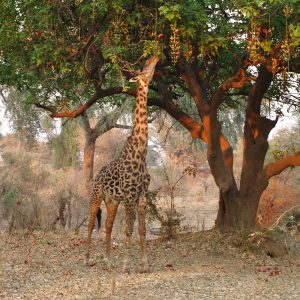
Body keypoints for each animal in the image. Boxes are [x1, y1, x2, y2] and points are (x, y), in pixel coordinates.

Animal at [85, 55, 159, 274]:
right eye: (143, 67)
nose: (155, 57)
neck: (140, 154)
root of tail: (96, 177)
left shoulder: (141, 196)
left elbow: (142, 230)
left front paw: (144, 265)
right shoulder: (129, 196)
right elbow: (128, 230)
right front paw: (126, 266)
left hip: (112, 201)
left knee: (108, 226)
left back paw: (108, 260)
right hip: (96, 196)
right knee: (91, 224)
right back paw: (87, 259)